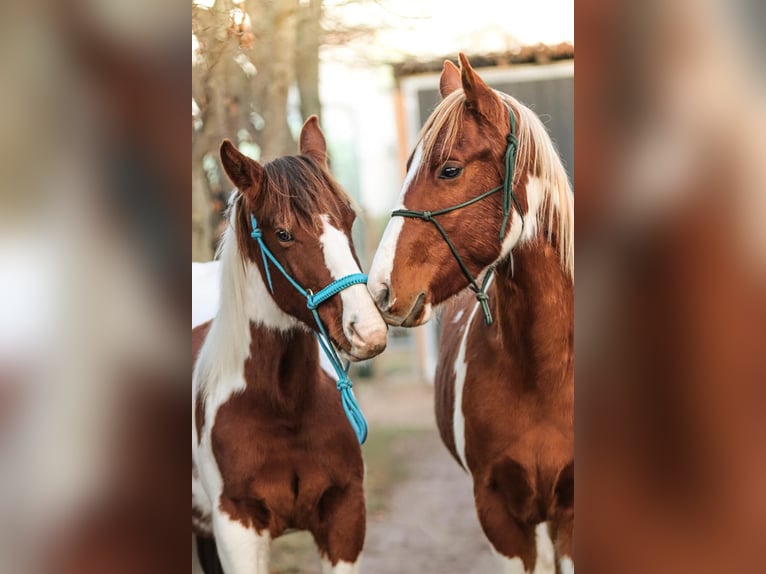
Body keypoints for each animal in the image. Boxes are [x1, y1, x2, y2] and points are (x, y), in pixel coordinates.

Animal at [192, 116, 388, 574]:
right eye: (283, 233)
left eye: (349, 216)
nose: (368, 330)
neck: (283, 405)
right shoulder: (237, 529)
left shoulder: (345, 518)